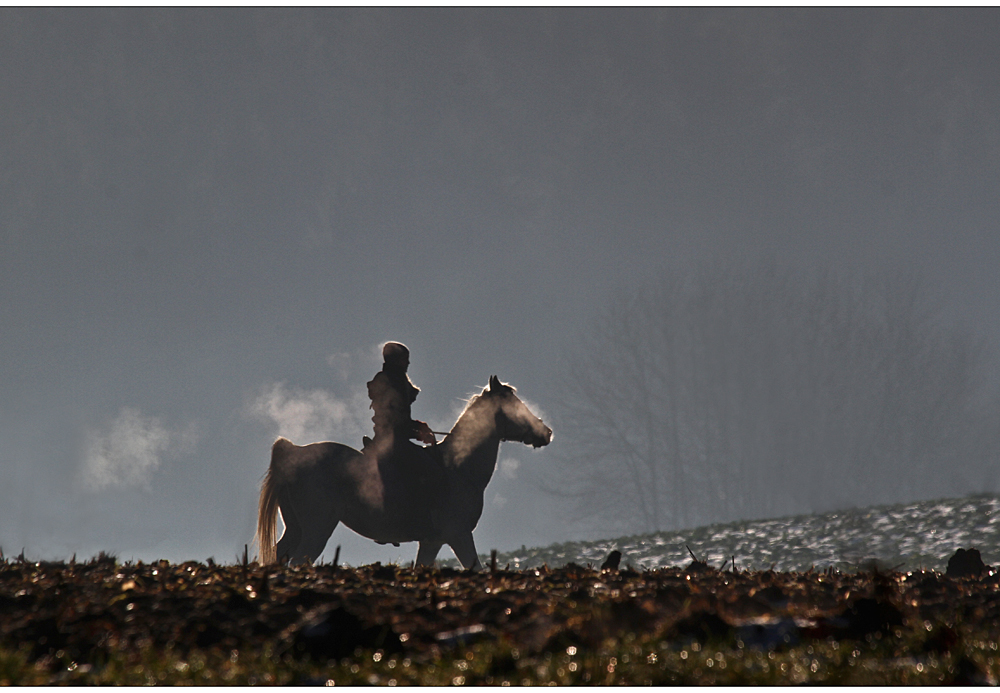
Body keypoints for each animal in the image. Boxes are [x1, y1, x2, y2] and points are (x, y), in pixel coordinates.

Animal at [256, 376, 556, 572]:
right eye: (513, 404)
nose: (546, 432)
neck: (458, 469)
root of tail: (293, 452)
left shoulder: (432, 541)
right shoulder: (458, 535)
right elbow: (477, 569)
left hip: (295, 528)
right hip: (316, 529)